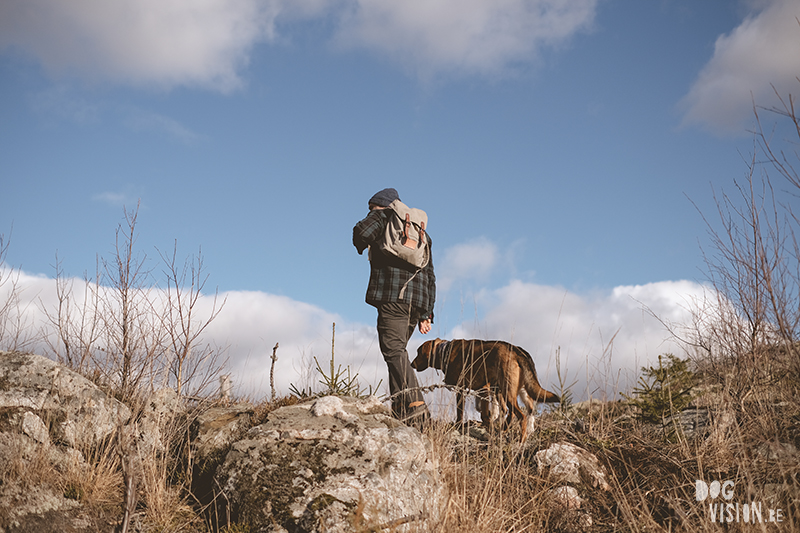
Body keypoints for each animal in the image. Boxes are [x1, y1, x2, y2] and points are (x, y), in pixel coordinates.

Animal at [412, 338, 556, 438]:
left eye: (418, 352)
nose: (412, 364)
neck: (444, 351)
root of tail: (517, 351)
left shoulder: (466, 389)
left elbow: (462, 412)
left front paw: (460, 425)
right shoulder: (483, 389)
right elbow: (486, 412)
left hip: (507, 392)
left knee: (519, 415)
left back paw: (520, 440)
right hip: (519, 390)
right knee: (524, 410)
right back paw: (509, 429)